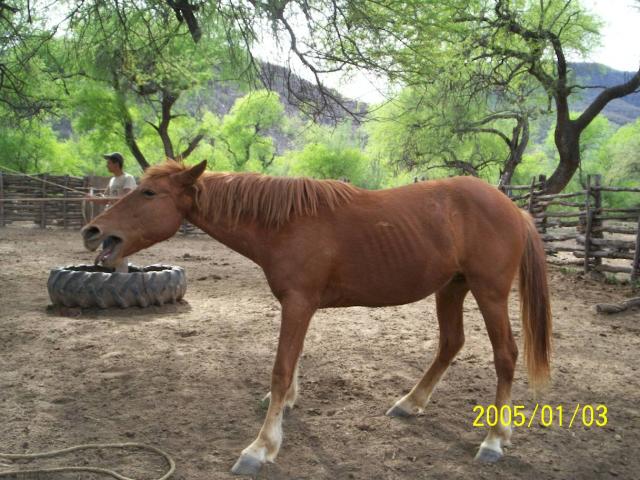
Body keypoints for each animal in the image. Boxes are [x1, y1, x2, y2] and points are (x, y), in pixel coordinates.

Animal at [80, 160, 552, 476]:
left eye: (148, 194)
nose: (92, 231)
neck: (285, 223)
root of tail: (514, 209)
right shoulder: (300, 307)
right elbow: (293, 364)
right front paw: (286, 406)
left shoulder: (298, 303)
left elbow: (281, 368)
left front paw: (261, 447)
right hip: (451, 287)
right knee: (451, 343)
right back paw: (409, 403)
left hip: (489, 292)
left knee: (505, 355)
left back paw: (494, 439)